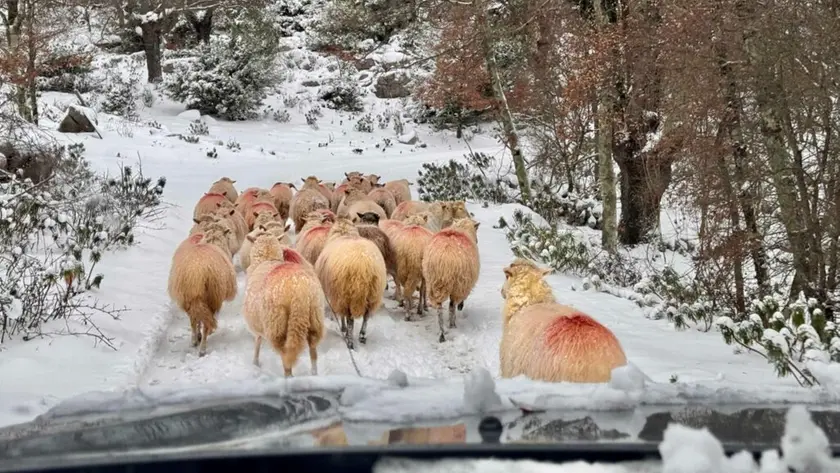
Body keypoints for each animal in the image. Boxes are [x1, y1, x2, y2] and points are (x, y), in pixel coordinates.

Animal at [167, 222, 237, 356]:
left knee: (194, 320)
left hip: (190, 298)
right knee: (204, 323)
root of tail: (198, 272)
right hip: (212, 298)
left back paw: (195, 340)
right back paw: (202, 348)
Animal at [243, 232, 325, 376]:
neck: (268, 259)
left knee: (286, 356)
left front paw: (255, 362)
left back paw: (289, 377)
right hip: (315, 316)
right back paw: (314, 374)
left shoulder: (257, 323)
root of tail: (299, 290)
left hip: (277, 325)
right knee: (313, 351)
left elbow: (257, 342)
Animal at [315, 218, 387, 349]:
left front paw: (343, 329)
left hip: (347, 294)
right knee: (366, 317)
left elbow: (342, 315)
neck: (345, 232)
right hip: (373, 294)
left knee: (350, 319)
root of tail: (364, 266)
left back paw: (349, 340)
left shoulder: (338, 295)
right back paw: (362, 335)